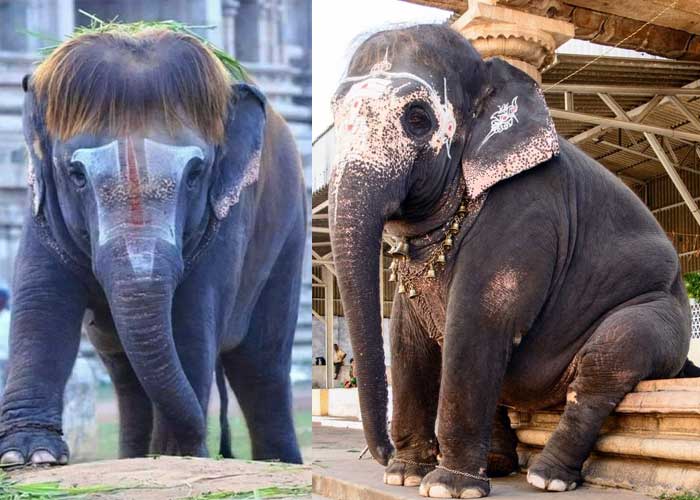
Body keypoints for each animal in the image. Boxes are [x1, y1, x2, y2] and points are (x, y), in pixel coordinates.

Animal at [0, 26, 306, 464]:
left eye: (195, 174)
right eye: (76, 174)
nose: (210, 447)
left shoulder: (225, 219)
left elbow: (191, 317)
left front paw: (178, 454)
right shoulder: (41, 205)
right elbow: (42, 299)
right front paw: (29, 456)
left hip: (290, 233)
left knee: (261, 365)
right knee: (124, 372)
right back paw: (134, 456)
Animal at [330, 24, 700, 500]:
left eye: (417, 119)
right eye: (335, 112)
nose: (379, 454)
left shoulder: (526, 209)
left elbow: (480, 318)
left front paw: (446, 487)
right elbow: (407, 337)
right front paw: (404, 476)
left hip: (659, 312)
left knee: (610, 358)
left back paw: (547, 477)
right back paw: (498, 465)